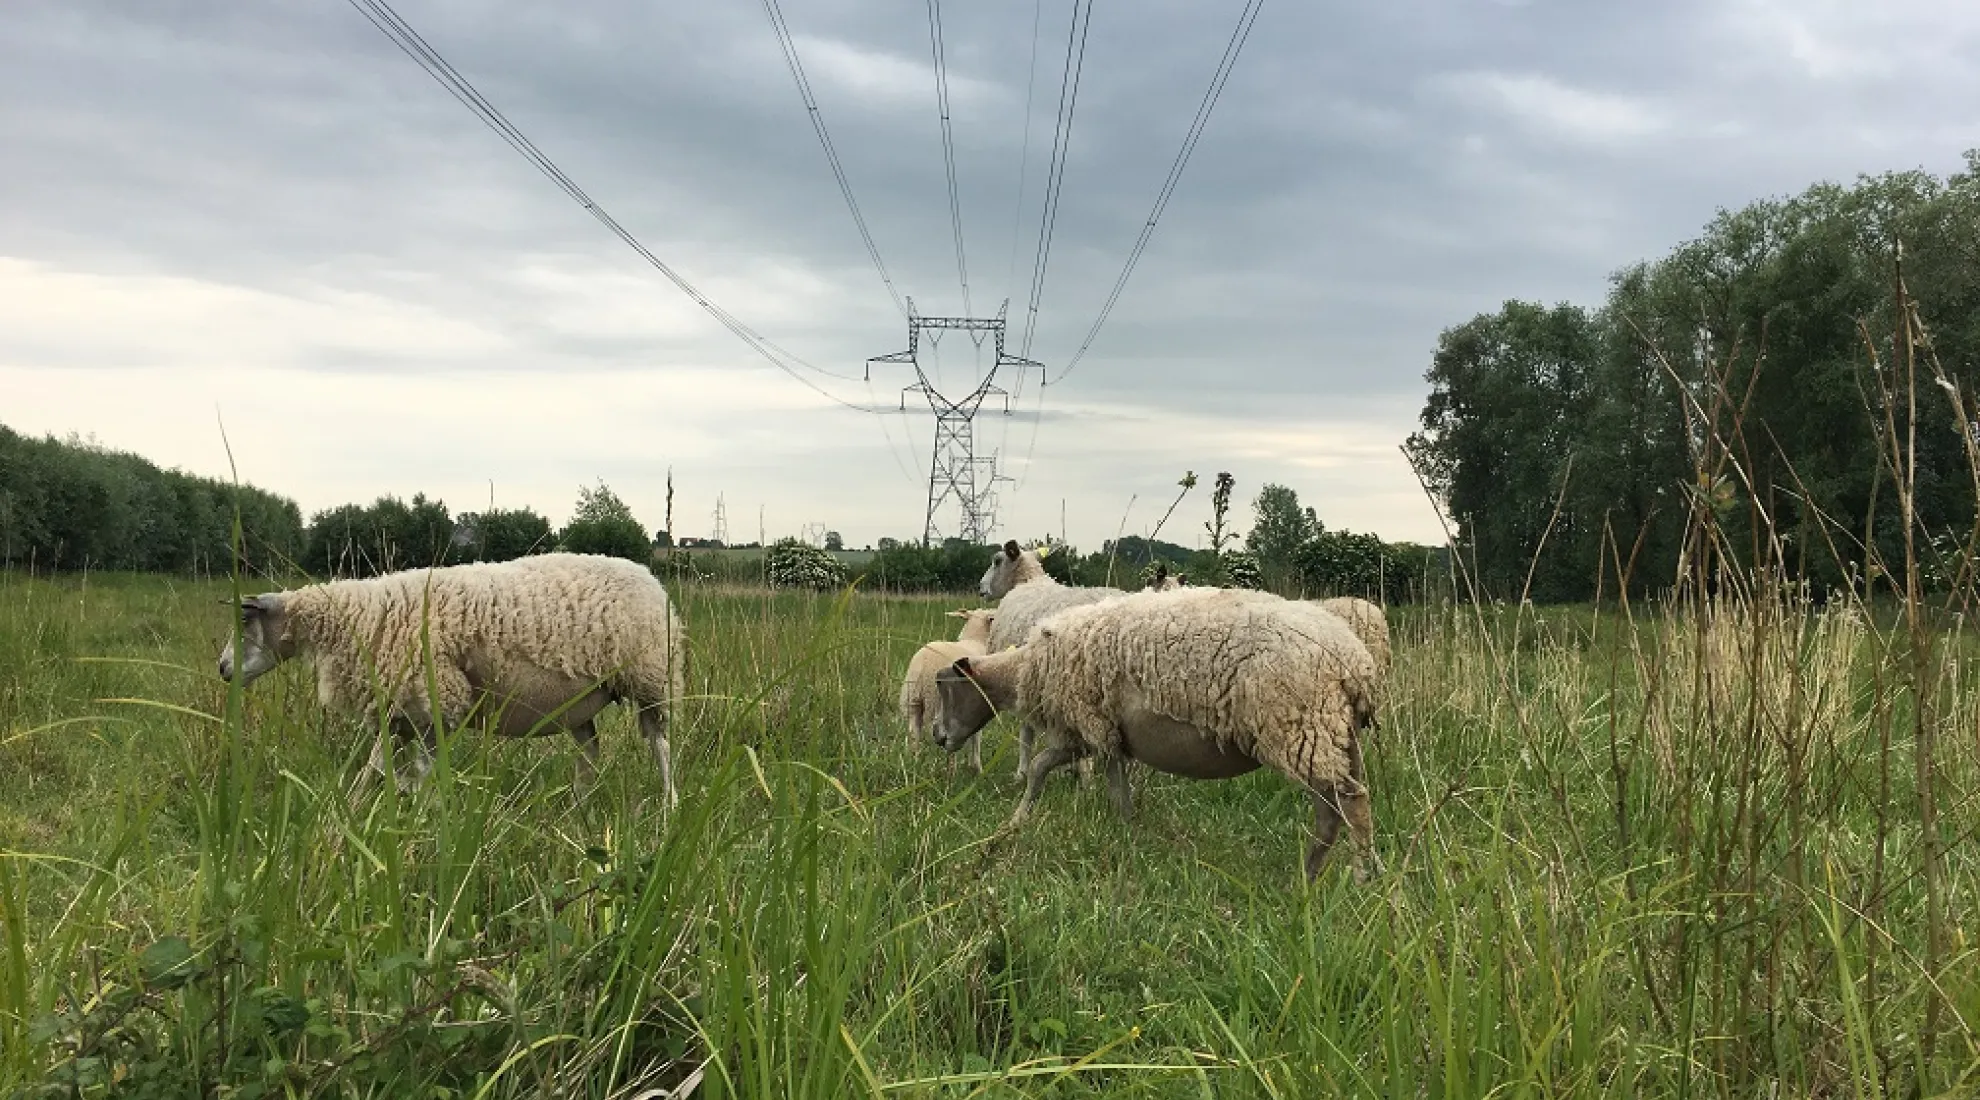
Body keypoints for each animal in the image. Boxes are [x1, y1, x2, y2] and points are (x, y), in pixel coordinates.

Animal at [217, 552, 686, 805]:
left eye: (246, 623)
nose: (222, 670)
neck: (361, 618)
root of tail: (651, 577)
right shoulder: (401, 710)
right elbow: (376, 765)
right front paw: (355, 808)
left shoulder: (433, 699)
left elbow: (417, 768)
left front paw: (423, 814)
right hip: (580, 703)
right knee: (590, 754)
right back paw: (578, 807)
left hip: (651, 680)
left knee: (661, 746)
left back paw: (669, 805)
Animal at [898, 608, 996, 772]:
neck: (974, 640)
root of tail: (925, 667)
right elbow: (976, 738)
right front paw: (977, 768)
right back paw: (951, 773)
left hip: (912, 700)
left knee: (913, 736)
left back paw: (914, 765)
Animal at [929, 586, 1381, 881]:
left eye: (946, 688)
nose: (938, 737)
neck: (1027, 667)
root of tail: (1355, 662)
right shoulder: (1099, 735)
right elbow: (1086, 777)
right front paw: (1124, 830)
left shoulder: (1089, 726)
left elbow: (1065, 772)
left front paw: (1020, 819)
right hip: (1337, 734)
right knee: (1337, 809)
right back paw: (1315, 879)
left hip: (1301, 729)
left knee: (1348, 805)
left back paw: (1356, 876)